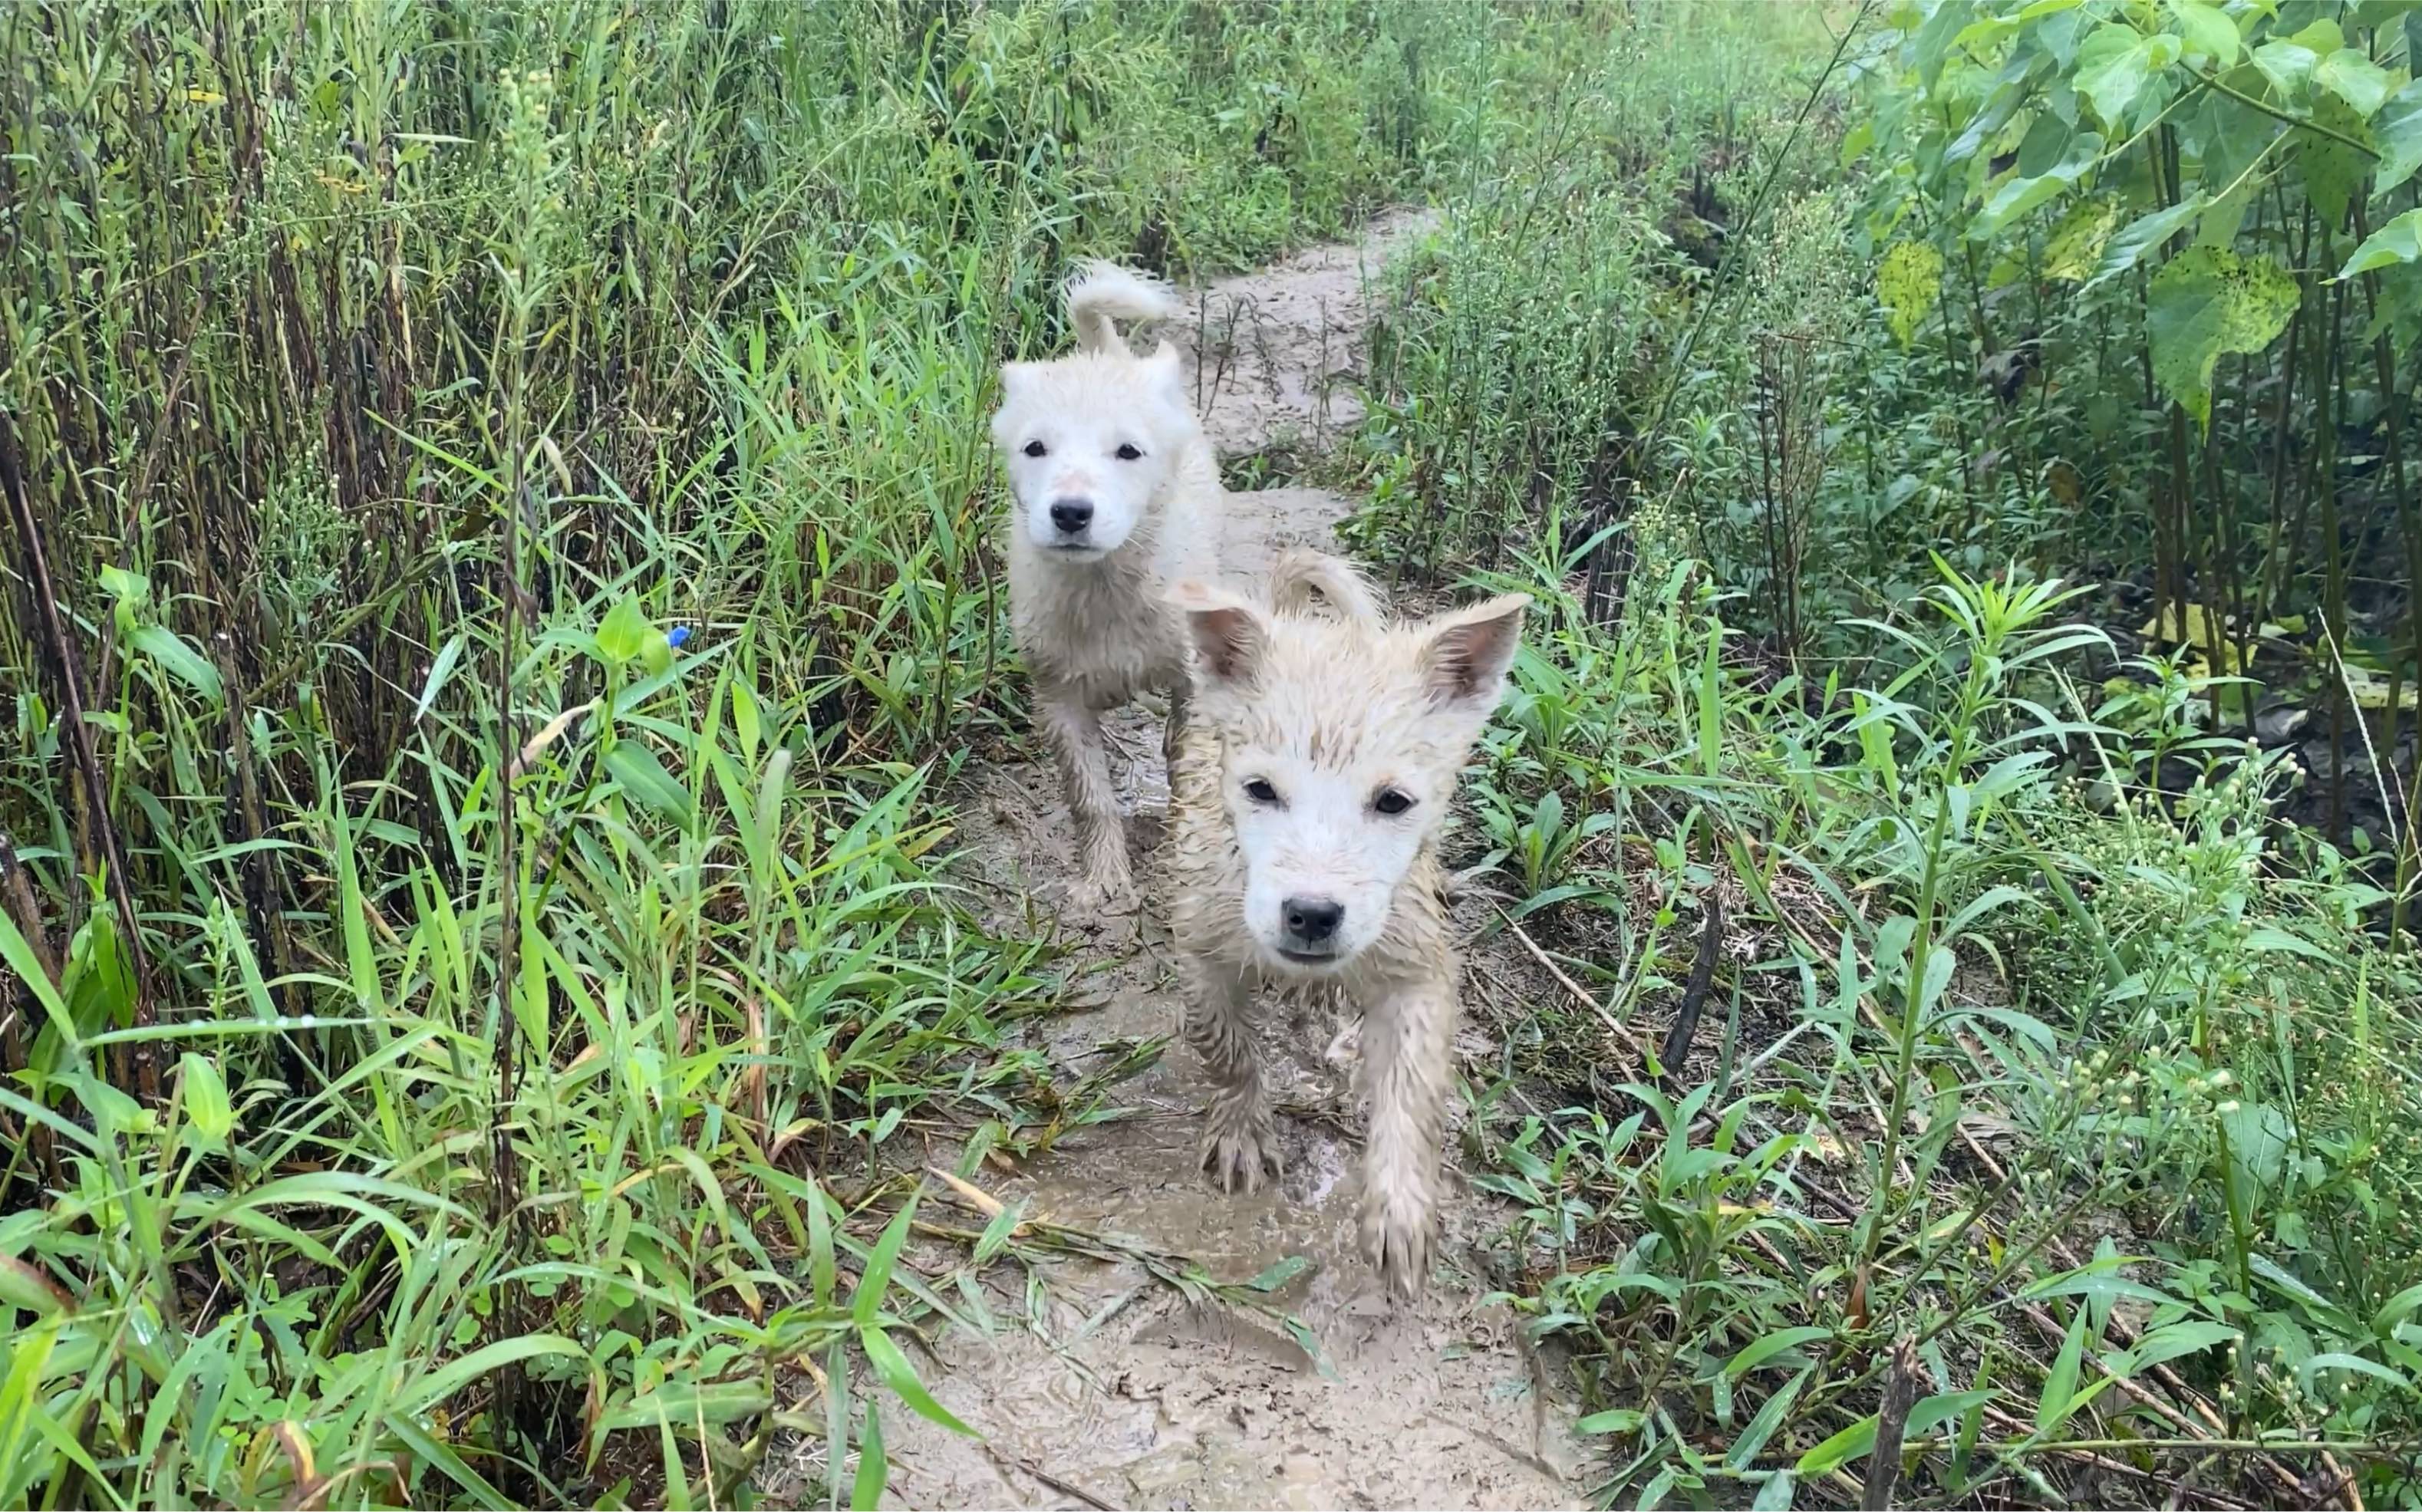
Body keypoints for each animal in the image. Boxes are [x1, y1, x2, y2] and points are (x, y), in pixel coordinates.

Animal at [997, 262, 1230, 915]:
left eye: (1128, 450)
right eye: (1034, 447)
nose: (1071, 512)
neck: (1106, 588)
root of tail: (1105, 352)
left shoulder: (1191, 682)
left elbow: (1186, 765)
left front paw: (1181, 855)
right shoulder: (1056, 698)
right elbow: (1090, 796)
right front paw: (1102, 882)